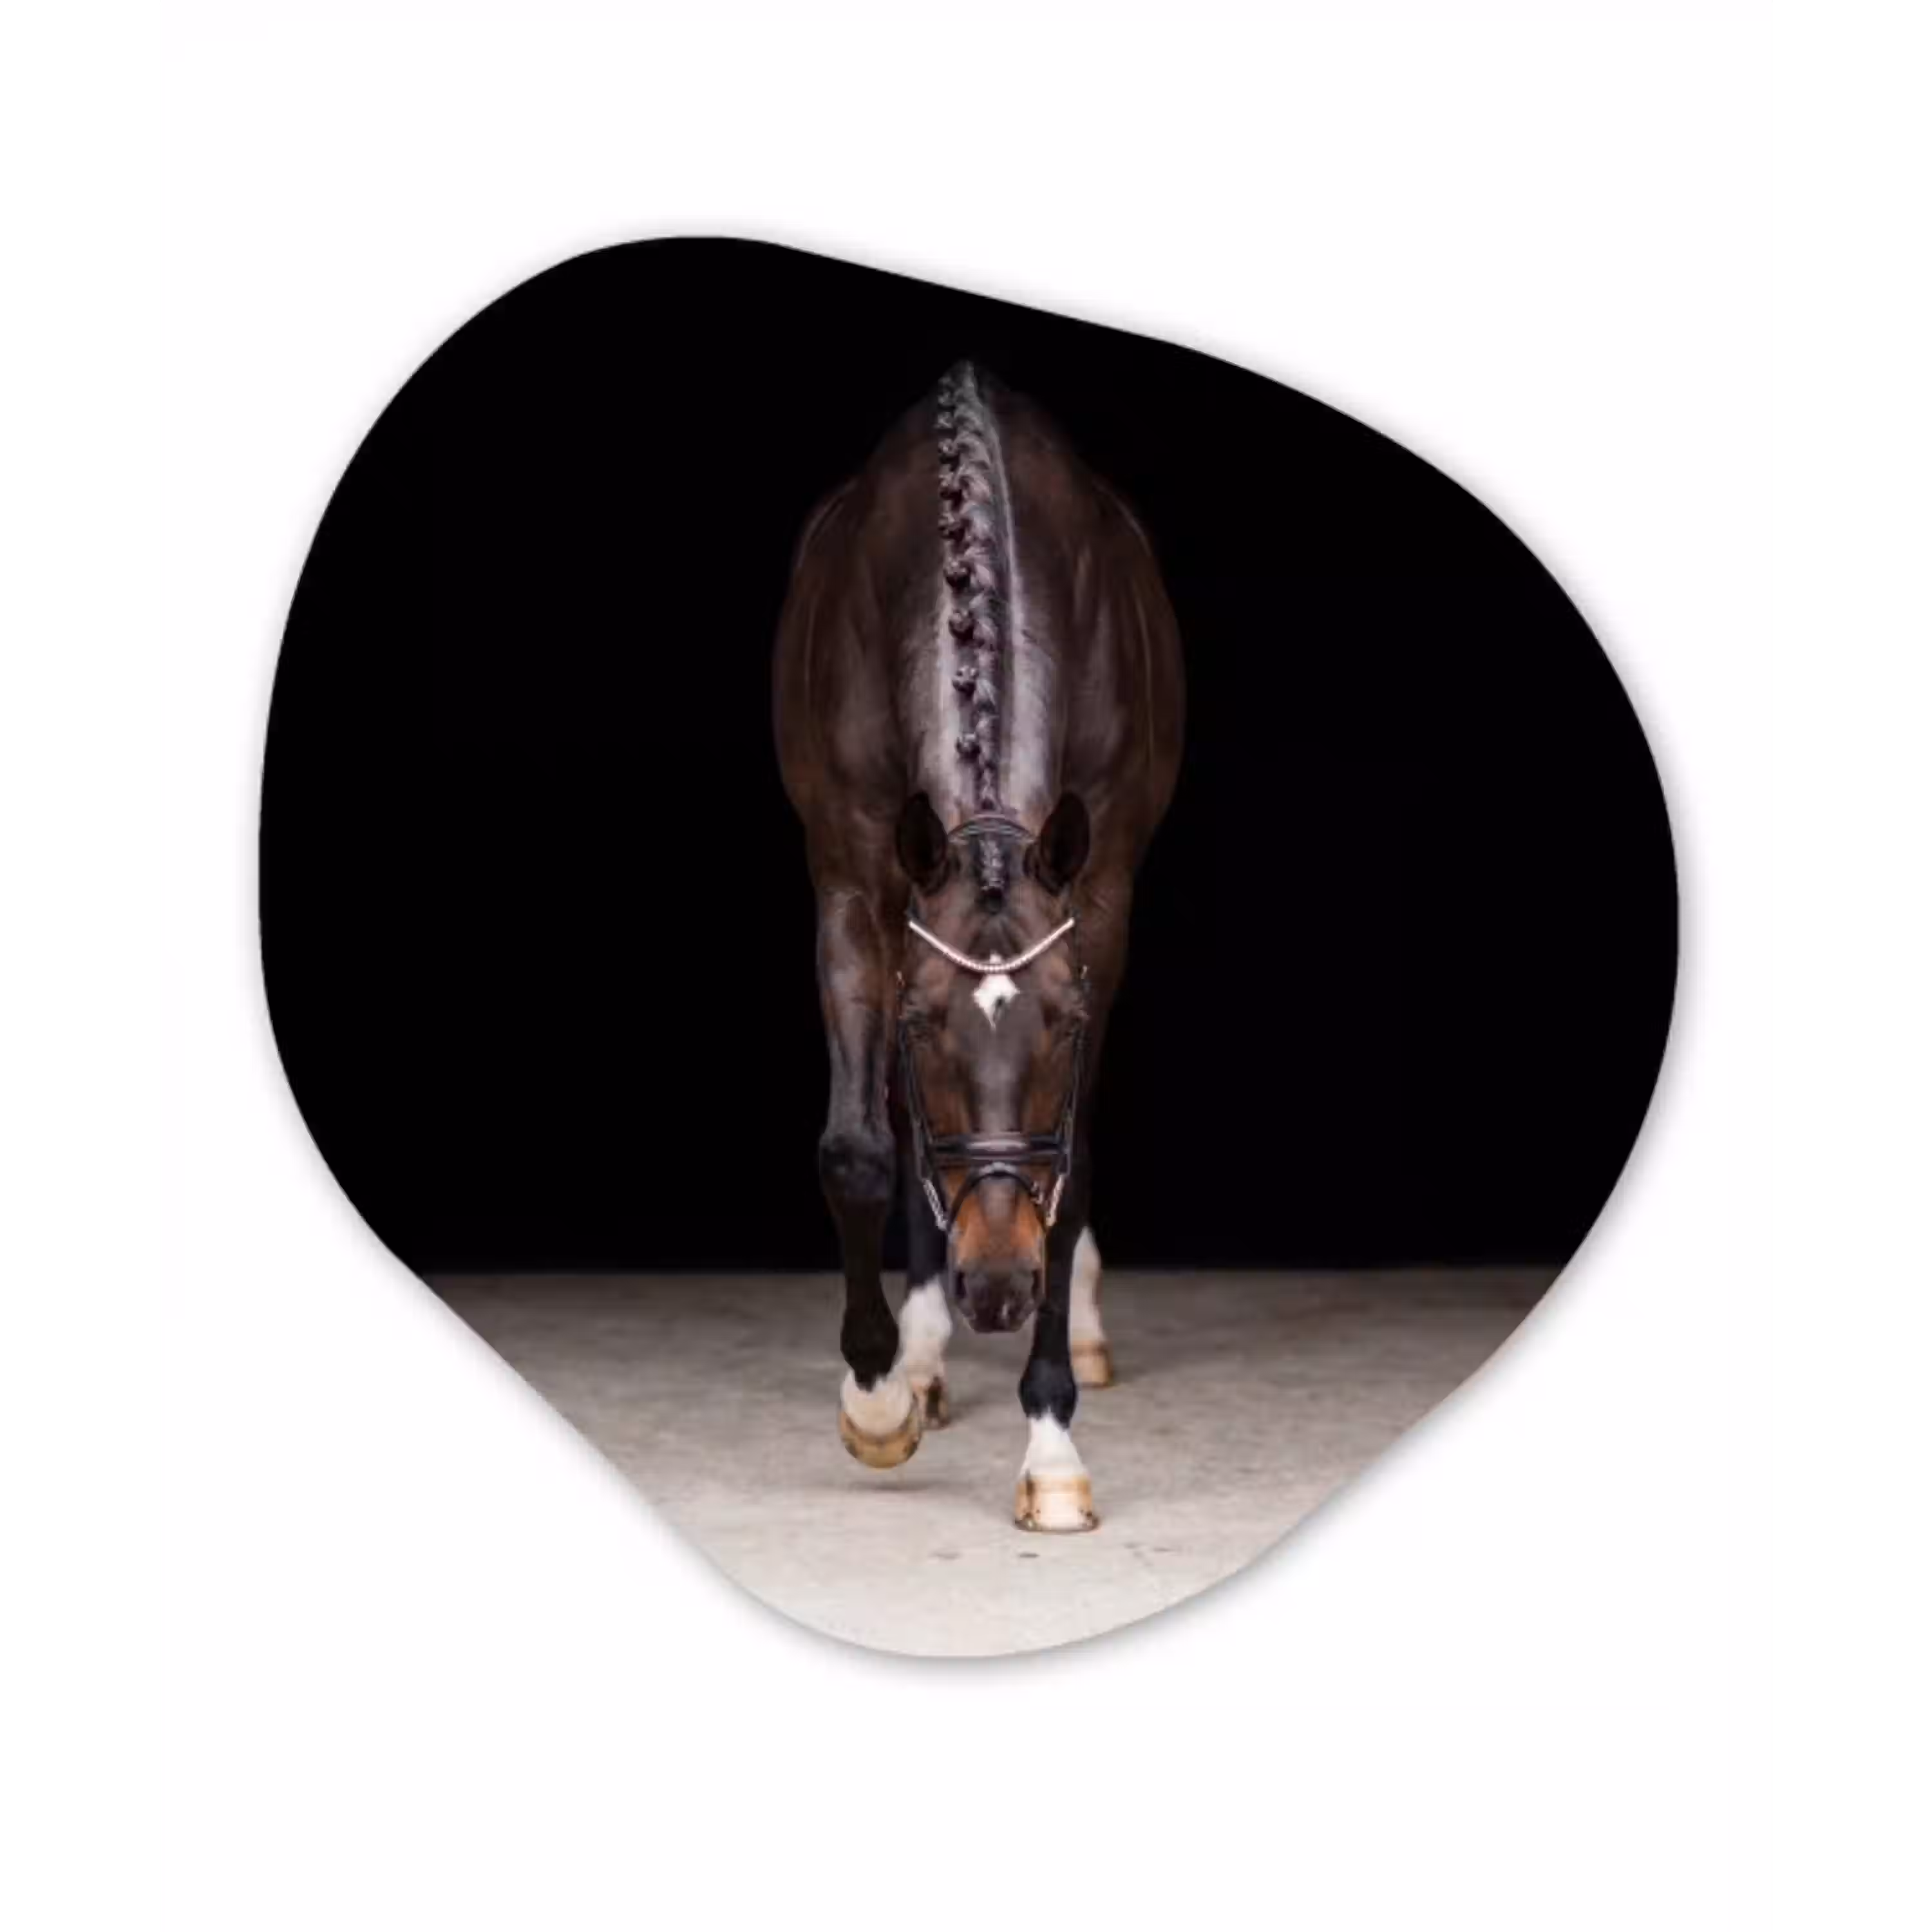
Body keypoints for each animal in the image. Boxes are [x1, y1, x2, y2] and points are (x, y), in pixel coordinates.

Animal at [773, 361, 1184, 1531]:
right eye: (921, 1026)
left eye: (1066, 1024)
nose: (997, 1287)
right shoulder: (854, 886)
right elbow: (861, 1149)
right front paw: (877, 1399)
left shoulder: (1100, 902)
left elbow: (1070, 1167)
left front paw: (1051, 1448)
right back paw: (920, 1356)